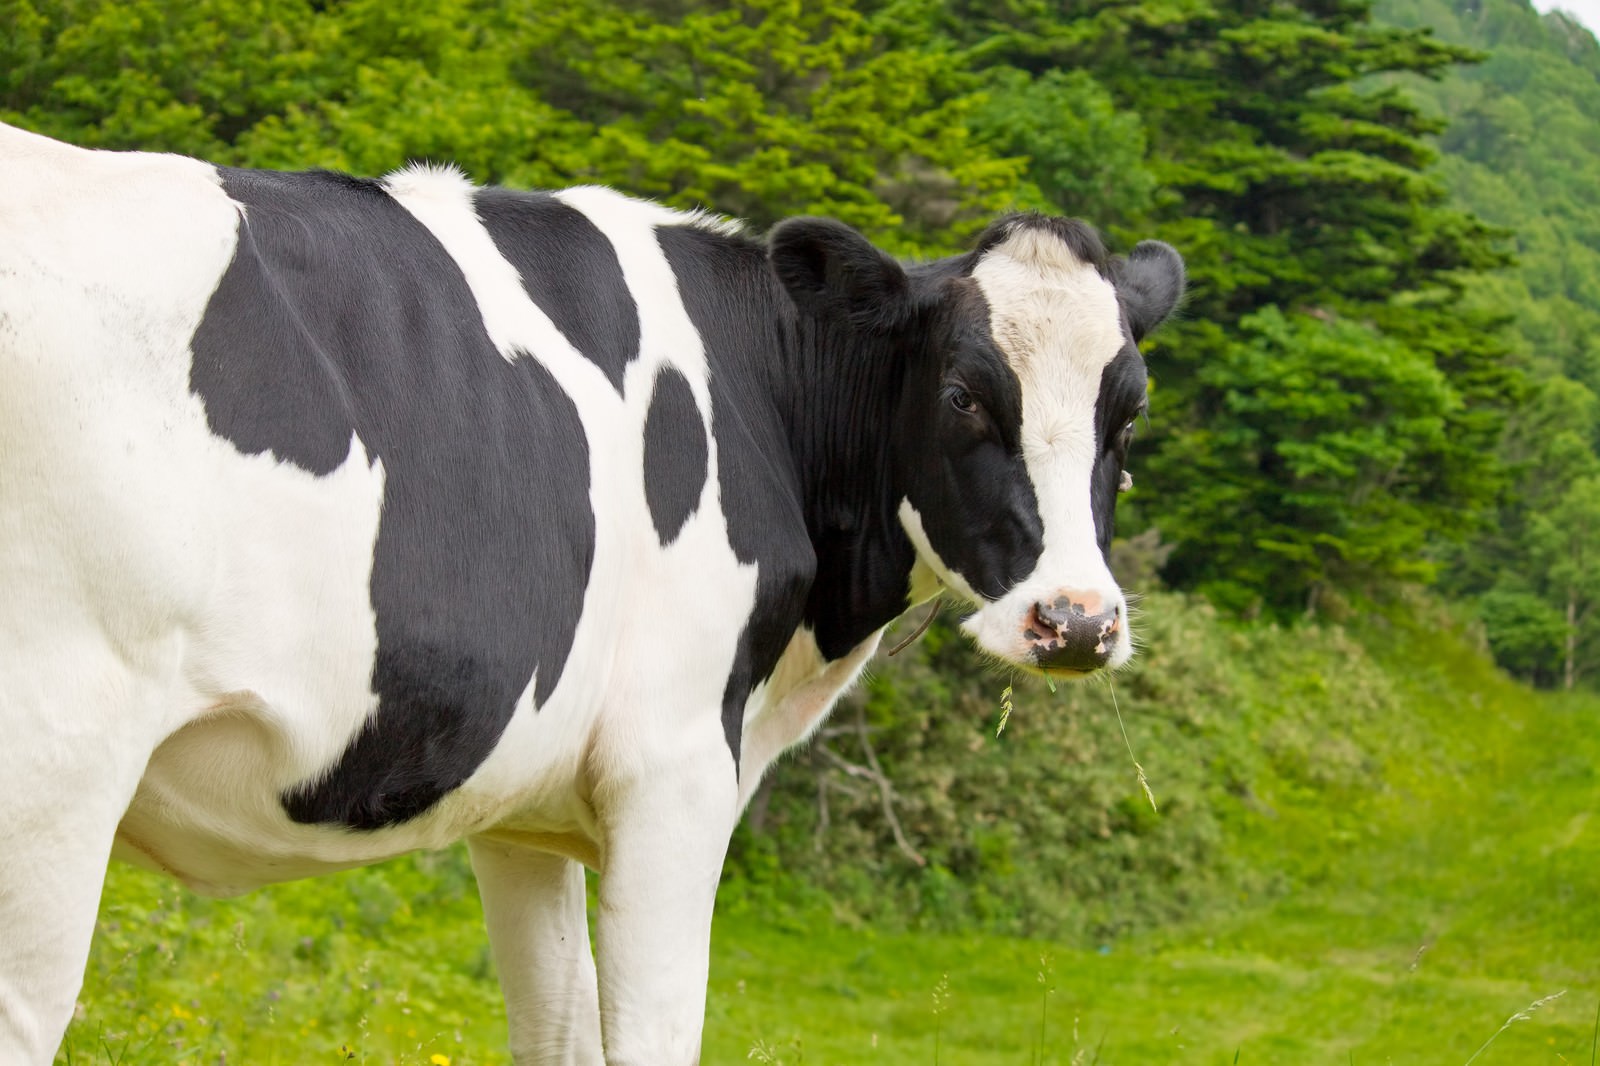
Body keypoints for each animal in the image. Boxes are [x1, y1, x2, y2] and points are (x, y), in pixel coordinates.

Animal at [0, 120, 1177, 1056]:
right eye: (963, 394)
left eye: (1130, 410)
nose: (1077, 621)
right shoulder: (673, 768)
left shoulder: (523, 809)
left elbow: (557, 1033)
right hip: (54, 760)